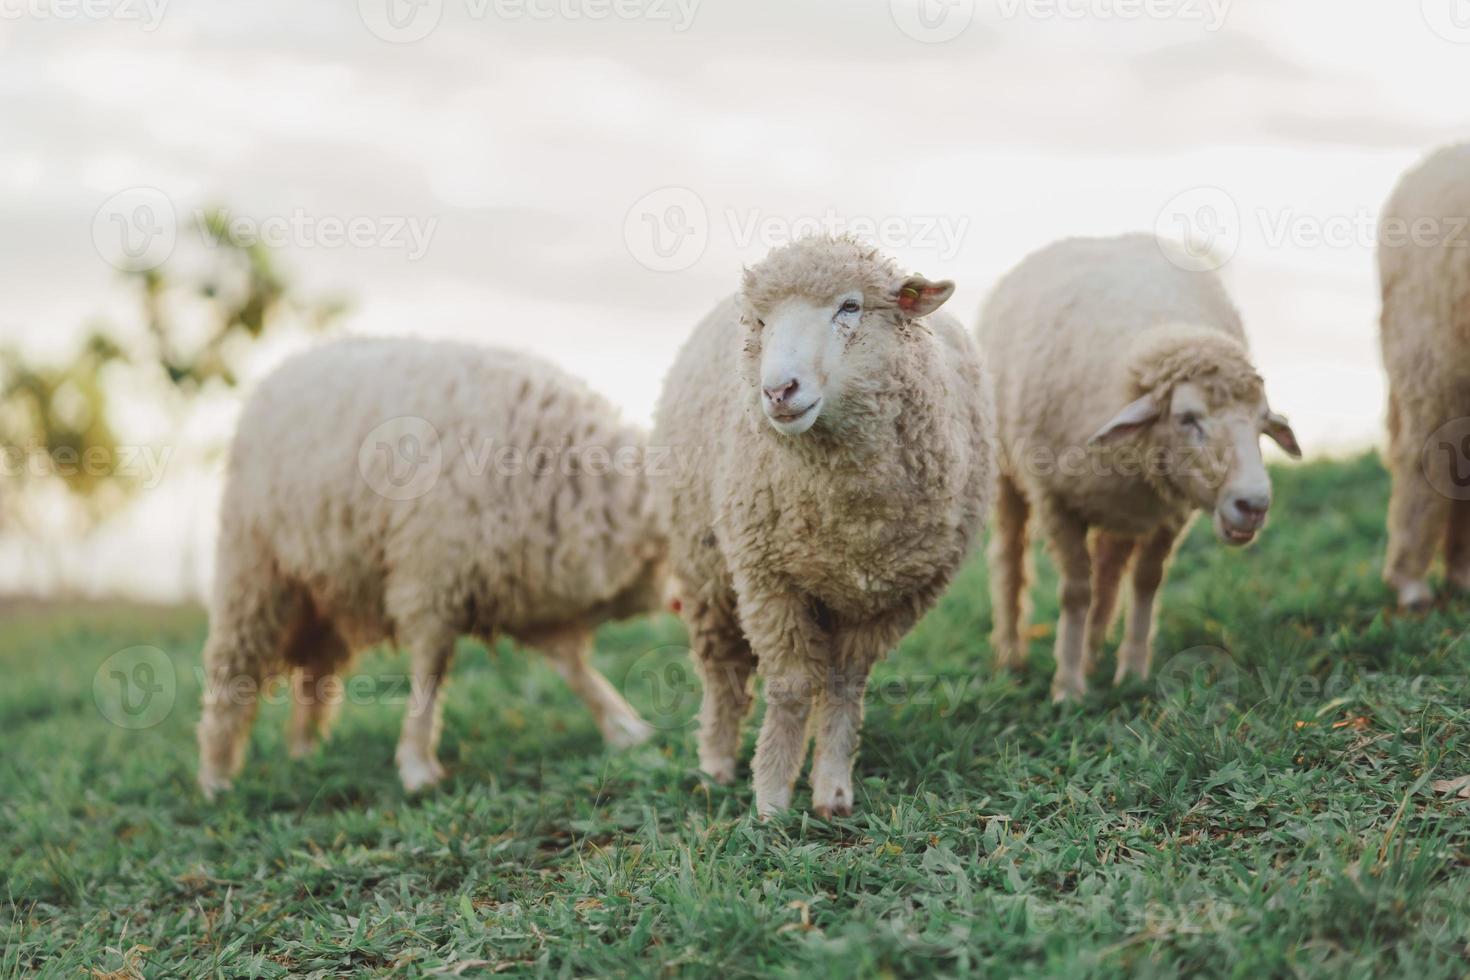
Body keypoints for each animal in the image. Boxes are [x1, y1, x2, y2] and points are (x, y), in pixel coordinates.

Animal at [196, 337, 661, 799]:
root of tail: (284, 367)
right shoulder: (433, 574)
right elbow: (430, 671)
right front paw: (418, 764)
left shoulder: (519, 583)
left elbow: (571, 666)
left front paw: (623, 726)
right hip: (254, 569)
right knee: (232, 669)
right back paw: (216, 776)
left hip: (328, 589)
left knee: (315, 672)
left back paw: (306, 753)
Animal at [649, 238, 993, 822]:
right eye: (761, 321)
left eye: (850, 307)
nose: (778, 391)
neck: (850, 517)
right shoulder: (767, 577)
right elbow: (789, 686)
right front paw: (771, 800)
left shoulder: (893, 597)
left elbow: (844, 683)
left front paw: (831, 788)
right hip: (705, 571)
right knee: (722, 670)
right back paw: (715, 764)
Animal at [981, 233, 1305, 702]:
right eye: (1187, 418)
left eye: (1263, 424)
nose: (1254, 505)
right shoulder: (1056, 499)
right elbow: (1075, 592)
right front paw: (1068, 688)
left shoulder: (1169, 509)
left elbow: (1146, 582)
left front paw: (1131, 672)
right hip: (1009, 472)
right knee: (1010, 556)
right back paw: (1010, 655)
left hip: (1119, 504)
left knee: (1109, 570)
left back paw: (1093, 652)